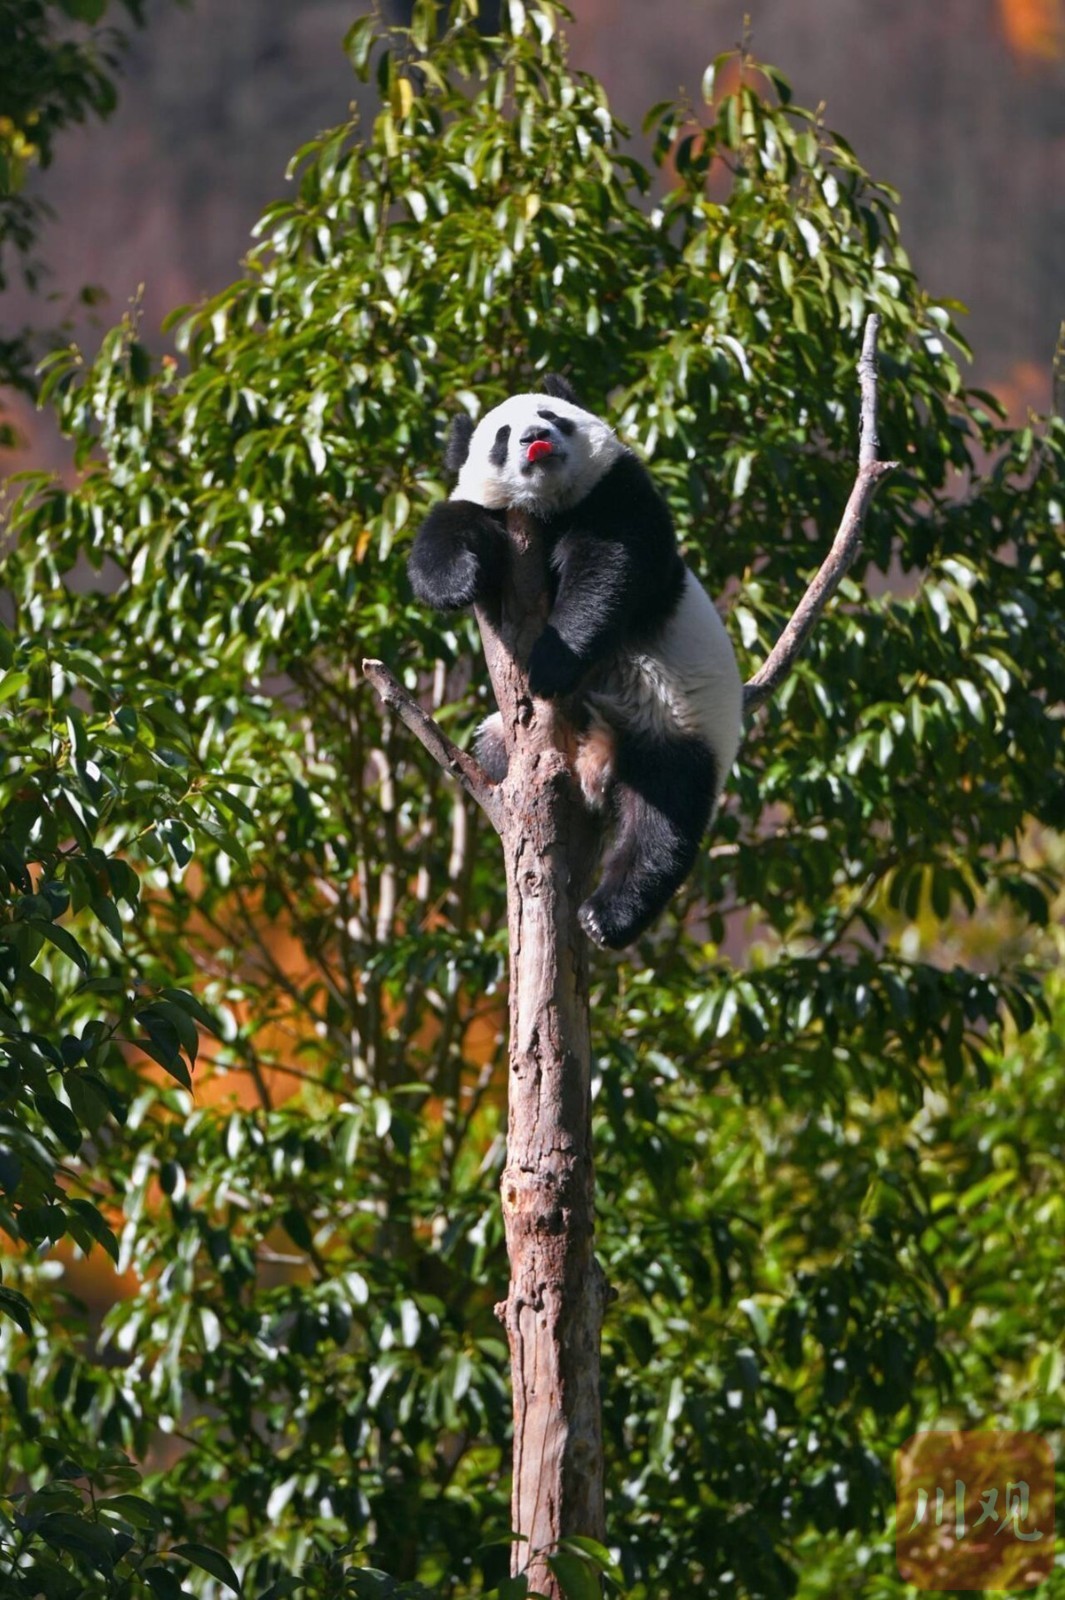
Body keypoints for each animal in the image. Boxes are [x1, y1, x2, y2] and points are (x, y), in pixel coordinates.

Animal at [406, 374, 738, 947]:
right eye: (502, 434)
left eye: (551, 415)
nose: (535, 438)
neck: (548, 512)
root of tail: (598, 757)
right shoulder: (490, 515)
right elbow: (446, 533)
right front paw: (458, 580)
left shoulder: (619, 496)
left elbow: (606, 573)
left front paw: (550, 665)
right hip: (507, 740)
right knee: (497, 751)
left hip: (677, 724)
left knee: (663, 817)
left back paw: (607, 916)